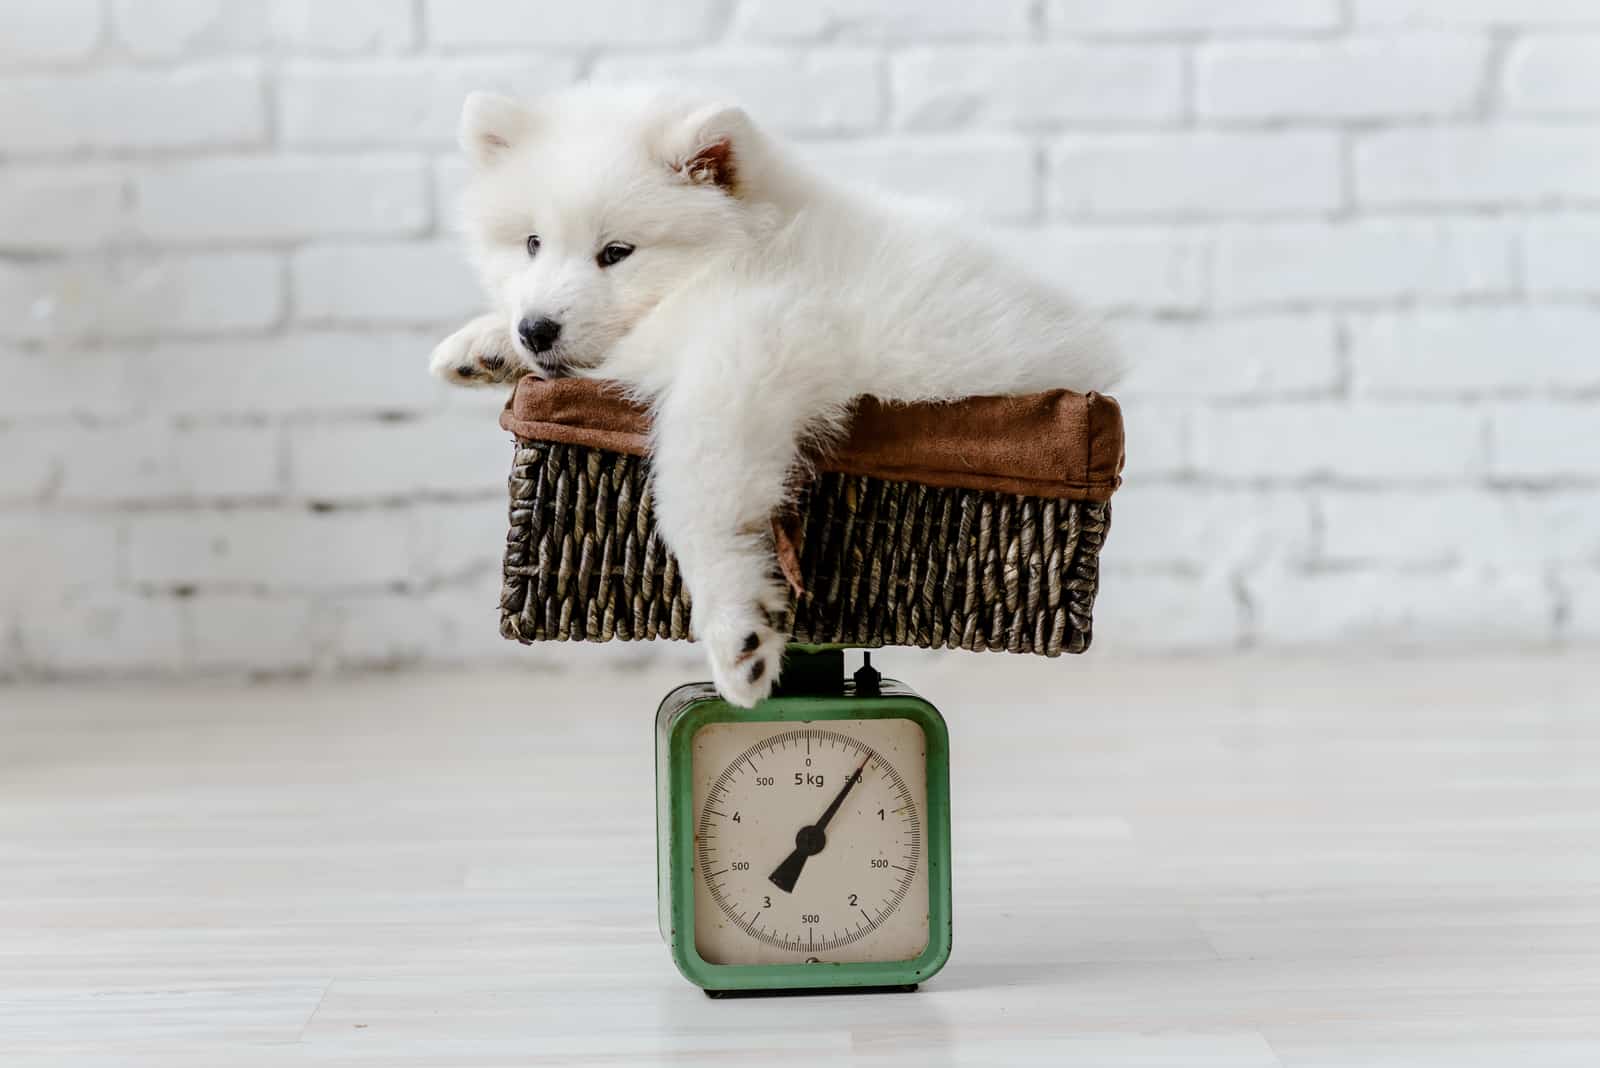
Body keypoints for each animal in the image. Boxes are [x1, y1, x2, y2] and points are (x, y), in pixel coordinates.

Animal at [432, 85, 1120, 709]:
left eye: (616, 253)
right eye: (532, 244)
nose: (536, 329)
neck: (735, 261)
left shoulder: (750, 354)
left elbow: (697, 495)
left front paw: (737, 632)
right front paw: (482, 345)